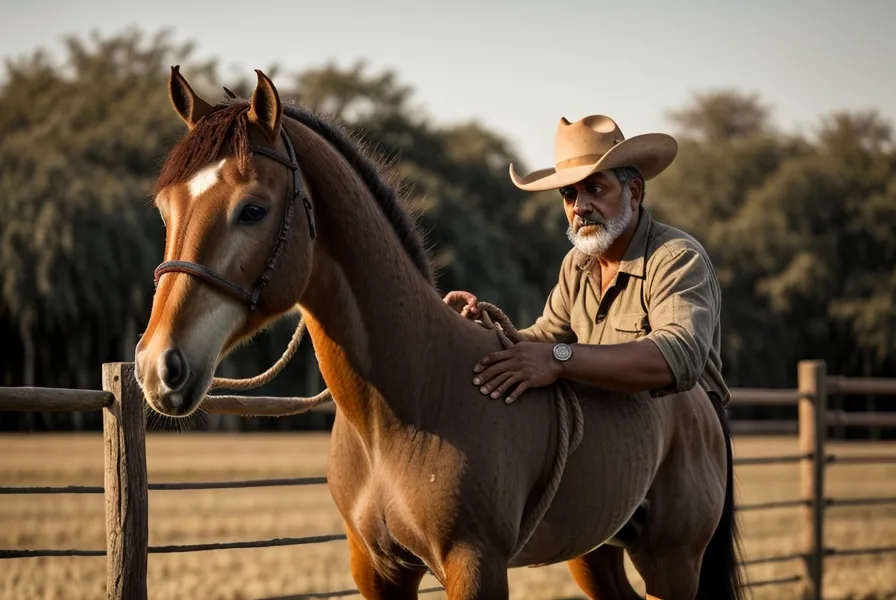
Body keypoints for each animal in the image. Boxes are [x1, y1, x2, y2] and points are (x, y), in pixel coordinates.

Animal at [134, 66, 746, 600]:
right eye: (165, 208)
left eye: (253, 209)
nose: (159, 365)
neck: (408, 401)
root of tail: (701, 400)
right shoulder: (377, 570)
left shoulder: (475, 566)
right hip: (595, 554)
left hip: (671, 564)